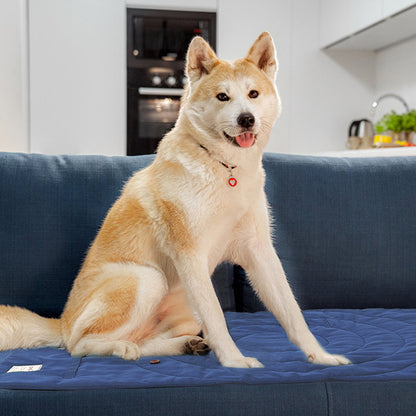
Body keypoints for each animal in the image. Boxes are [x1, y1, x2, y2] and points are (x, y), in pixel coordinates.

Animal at [0, 34, 352, 368]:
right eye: (222, 97)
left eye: (253, 94)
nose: (246, 119)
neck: (225, 169)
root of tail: (60, 322)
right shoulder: (190, 255)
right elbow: (217, 317)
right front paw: (235, 362)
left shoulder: (259, 252)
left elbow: (292, 313)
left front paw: (321, 356)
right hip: (146, 278)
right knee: (78, 345)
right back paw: (120, 348)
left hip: (183, 306)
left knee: (145, 340)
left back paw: (183, 345)